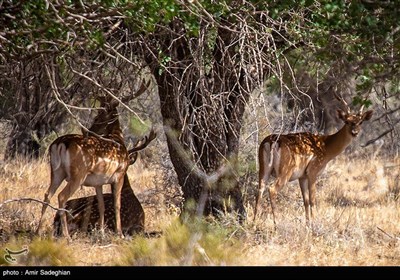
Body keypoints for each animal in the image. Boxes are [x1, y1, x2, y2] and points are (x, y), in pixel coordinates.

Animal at [255, 93, 374, 228]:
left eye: (360, 121)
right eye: (347, 121)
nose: (355, 132)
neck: (326, 147)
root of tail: (270, 142)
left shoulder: (302, 176)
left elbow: (305, 200)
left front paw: (307, 224)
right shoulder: (313, 171)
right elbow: (312, 199)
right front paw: (314, 224)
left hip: (263, 168)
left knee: (259, 191)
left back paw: (253, 223)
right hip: (285, 171)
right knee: (272, 189)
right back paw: (277, 224)